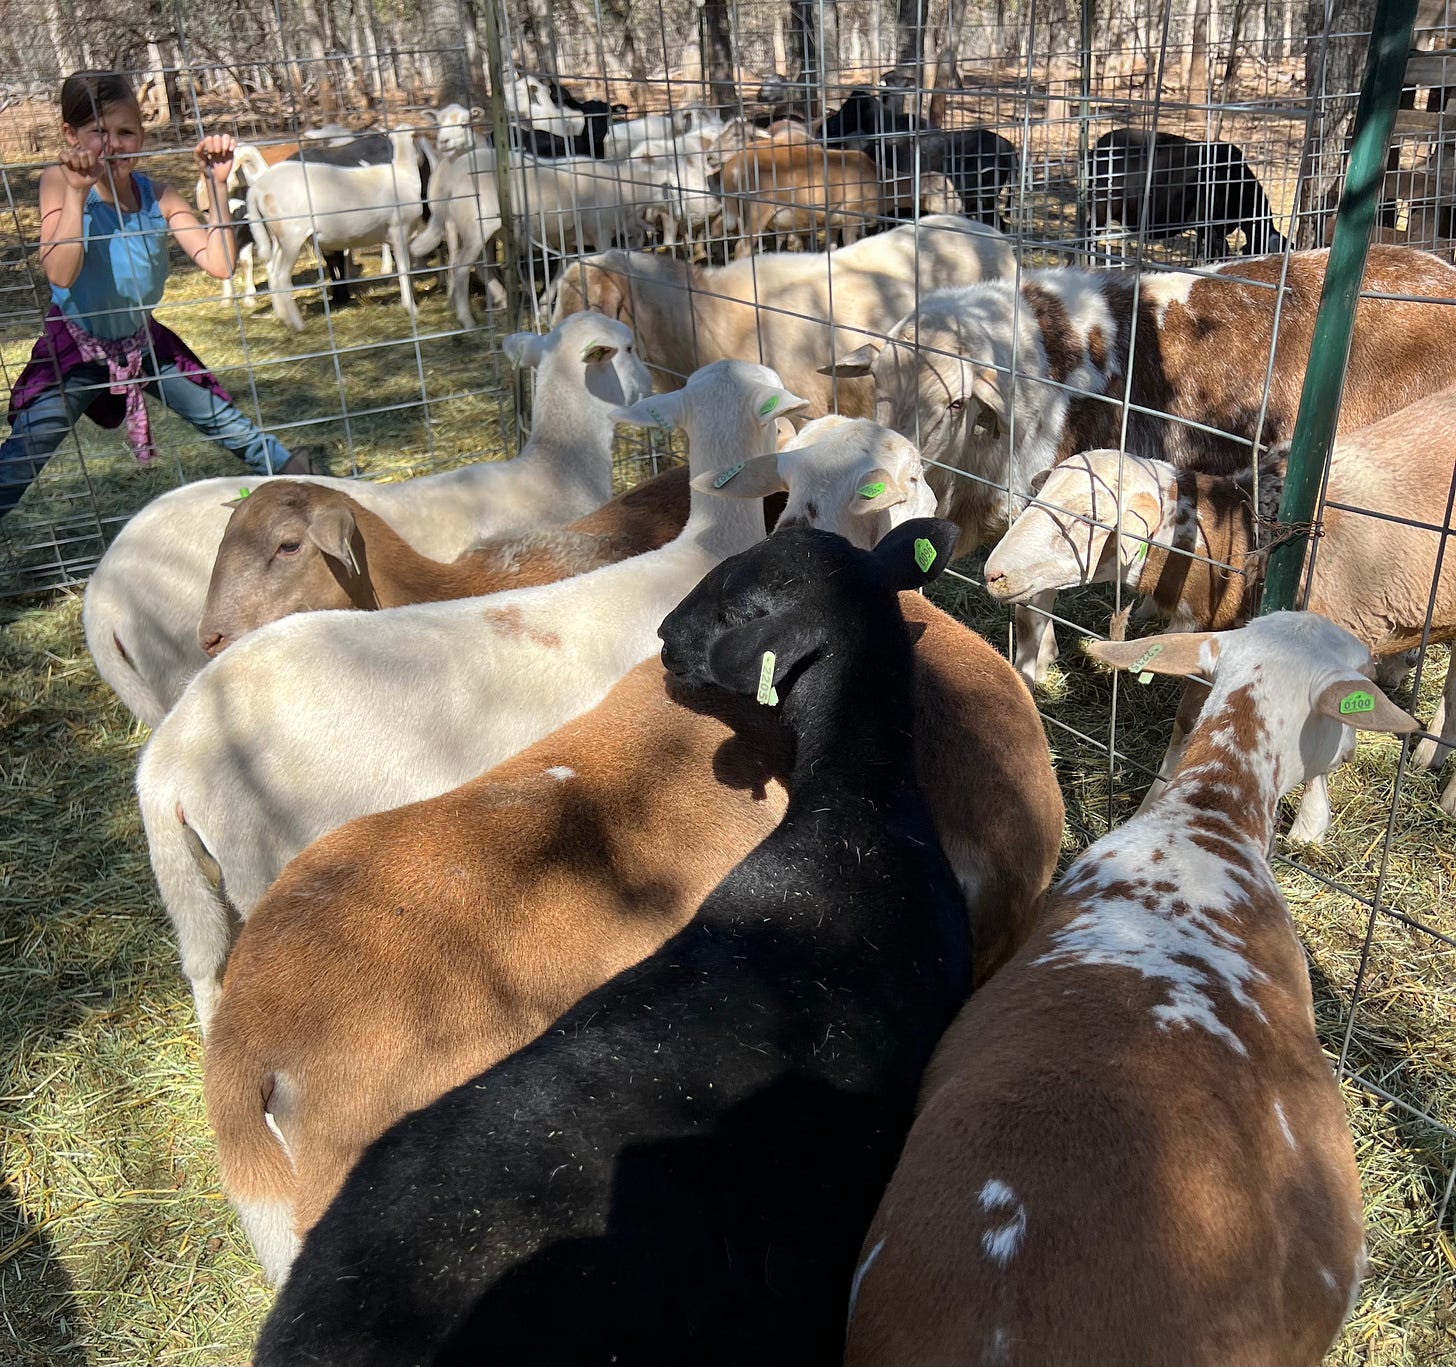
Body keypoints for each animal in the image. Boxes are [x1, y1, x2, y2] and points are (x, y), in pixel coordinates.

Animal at [246, 127, 425, 331]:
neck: (403, 172)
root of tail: (257, 189)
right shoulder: (399, 231)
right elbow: (404, 268)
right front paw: (410, 307)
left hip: (278, 236)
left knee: (271, 270)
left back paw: (284, 318)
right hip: (292, 235)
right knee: (281, 275)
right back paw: (298, 325)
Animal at [984, 429, 1456, 834]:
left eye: (1087, 518)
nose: (993, 574)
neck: (1239, 540)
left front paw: (1309, 826)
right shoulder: (1214, 644)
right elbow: (1188, 724)